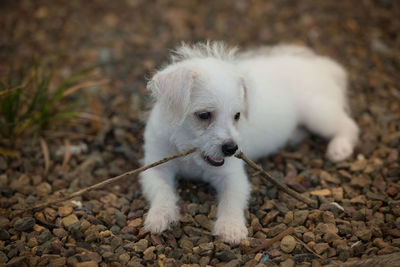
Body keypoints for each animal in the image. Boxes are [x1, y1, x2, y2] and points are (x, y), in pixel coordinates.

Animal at [140, 42, 360, 245]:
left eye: (237, 115)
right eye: (204, 115)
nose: (231, 148)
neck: (189, 155)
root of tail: (323, 66)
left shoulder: (233, 176)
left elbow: (231, 201)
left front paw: (231, 228)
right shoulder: (154, 168)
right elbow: (161, 192)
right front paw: (159, 216)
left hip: (317, 113)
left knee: (348, 124)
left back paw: (340, 148)